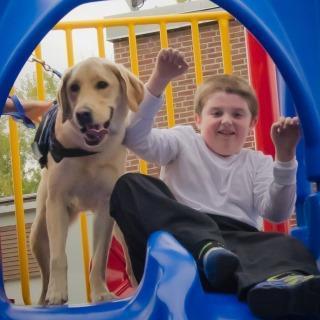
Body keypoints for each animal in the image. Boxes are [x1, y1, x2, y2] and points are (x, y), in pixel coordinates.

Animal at [30, 57, 143, 304]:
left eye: (102, 85)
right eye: (74, 88)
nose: (82, 113)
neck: (87, 152)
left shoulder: (104, 208)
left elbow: (100, 258)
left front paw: (101, 292)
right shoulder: (57, 203)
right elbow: (58, 257)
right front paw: (57, 293)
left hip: (120, 228)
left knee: (130, 261)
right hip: (39, 231)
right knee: (45, 274)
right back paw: (44, 300)